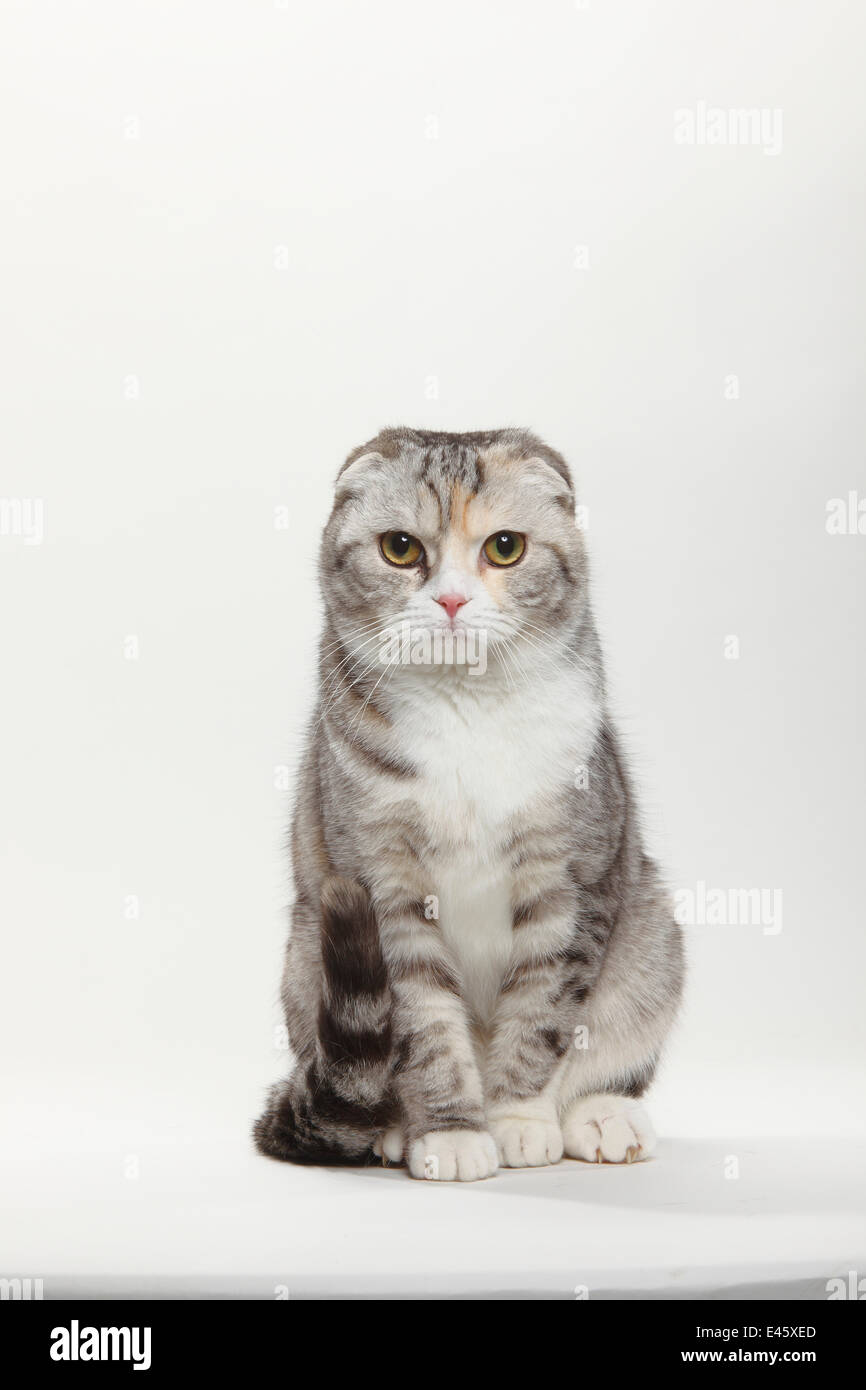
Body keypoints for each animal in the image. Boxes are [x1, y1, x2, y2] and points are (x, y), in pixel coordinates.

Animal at [254, 428, 686, 1178]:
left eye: (505, 547)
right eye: (400, 548)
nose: (452, 601)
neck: (466, 706)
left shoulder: (570, 883)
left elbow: (542, 1014)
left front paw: (517, 1120)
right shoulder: (383, 888)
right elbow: (423, 1024)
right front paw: (452, 1132)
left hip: (653, 937)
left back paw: (603, 1117)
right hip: (307, 958)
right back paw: (396, 1130)